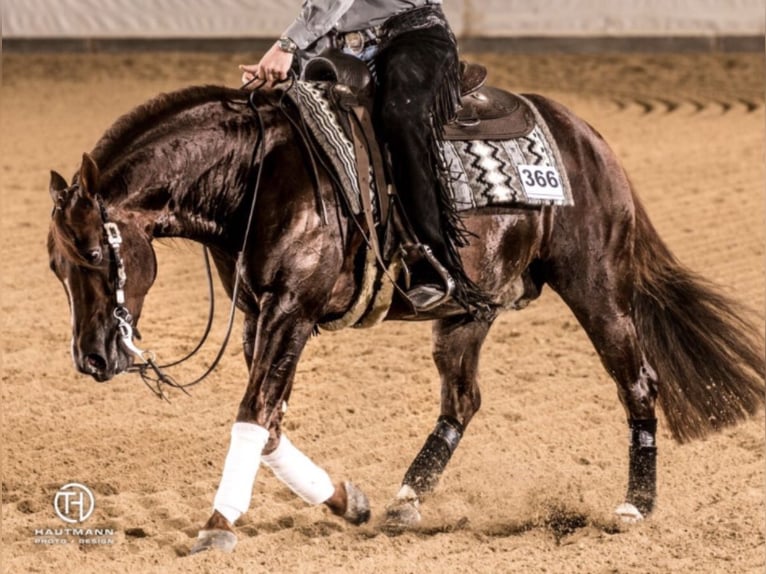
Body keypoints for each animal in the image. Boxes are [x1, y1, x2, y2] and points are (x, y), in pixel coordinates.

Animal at [46, 84, 760, 552]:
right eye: (55, 267)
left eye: (93, 253)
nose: (91, 358)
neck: (256, 174)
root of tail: (587, 137)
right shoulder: (258, 316)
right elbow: (271, 425)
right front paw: (347, 503)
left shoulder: (290, 311)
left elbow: (253, 414)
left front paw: (217, 527)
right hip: (468, 312)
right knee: (462, 400)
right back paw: (405, 501)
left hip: (597, 287)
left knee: (638, 382)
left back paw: (636, 506)